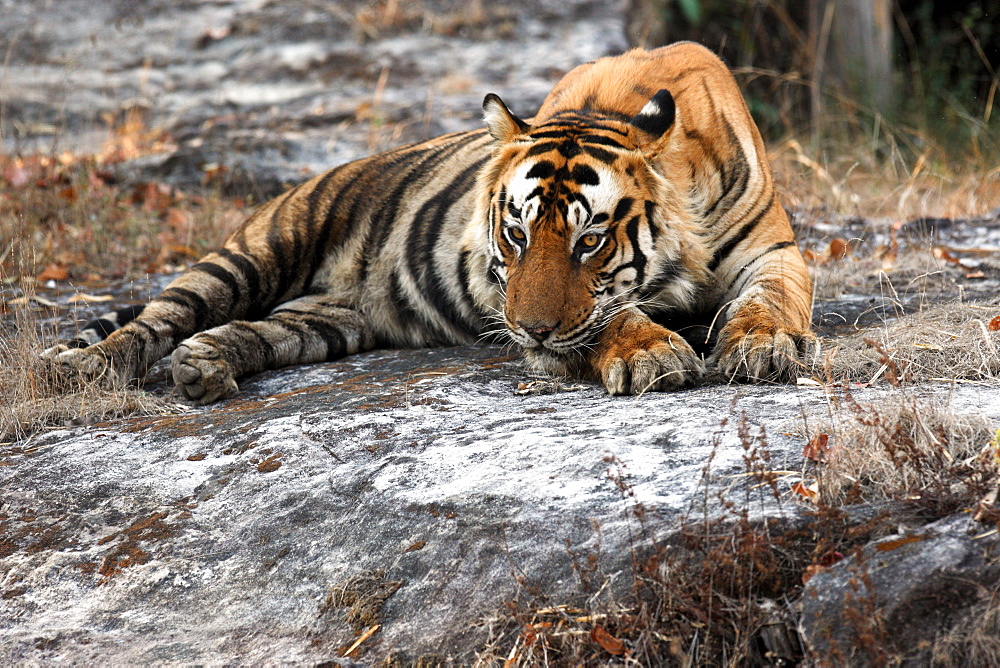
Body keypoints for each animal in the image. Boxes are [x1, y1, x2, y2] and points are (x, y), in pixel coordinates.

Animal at [43, 43, 816, 408]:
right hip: (256, 252)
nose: (530, 332)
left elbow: (773, 300)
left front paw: (761, 345)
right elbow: (611, 318)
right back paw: (83, 366)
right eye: (516, 235)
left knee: (253, 331)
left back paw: (203, 367)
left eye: (589, 241)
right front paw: (652, 352)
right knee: (160, 317)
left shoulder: (774, 250)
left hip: (328, 320)